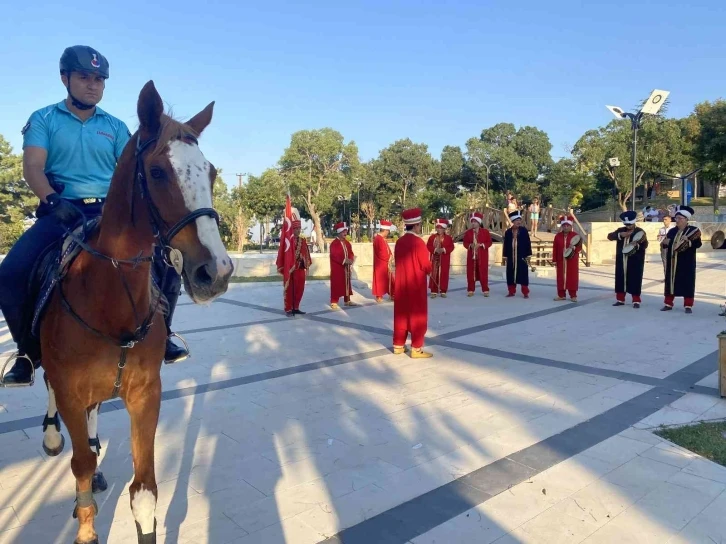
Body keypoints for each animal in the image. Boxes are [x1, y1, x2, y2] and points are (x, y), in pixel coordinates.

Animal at [39, 82, 233, 544]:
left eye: (211, 172)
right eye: (158, 172)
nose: (216, 271)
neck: (109, 297)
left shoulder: (146, 394)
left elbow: (144, 492)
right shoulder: (70, 391)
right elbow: (80, 466)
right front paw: (86, 526)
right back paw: (53, 436)